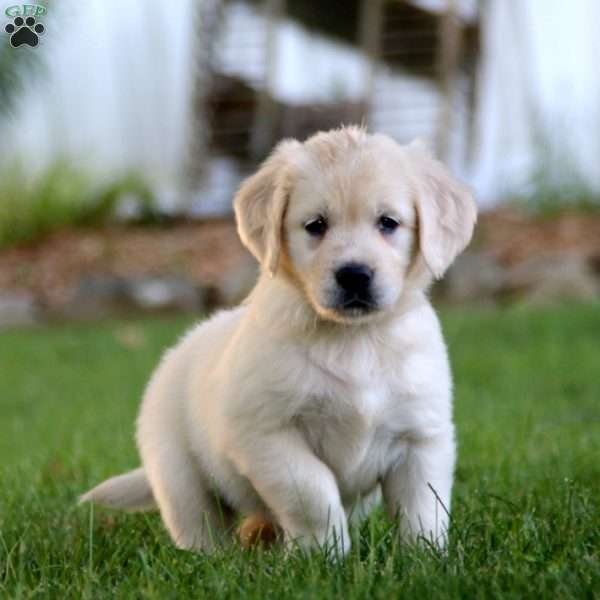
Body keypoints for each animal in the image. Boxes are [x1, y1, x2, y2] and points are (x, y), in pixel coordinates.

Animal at [82, 126, 476, 556]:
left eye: (388, 222)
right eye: (316, 225)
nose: (354, 275)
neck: (353, 338)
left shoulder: (422, 435)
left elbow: (424, 506)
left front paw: (426, 556)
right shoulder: (267, 433)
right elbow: (314, 490)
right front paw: (323, 554)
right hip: (177, 469)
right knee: (199, 522)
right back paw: (214, 555)